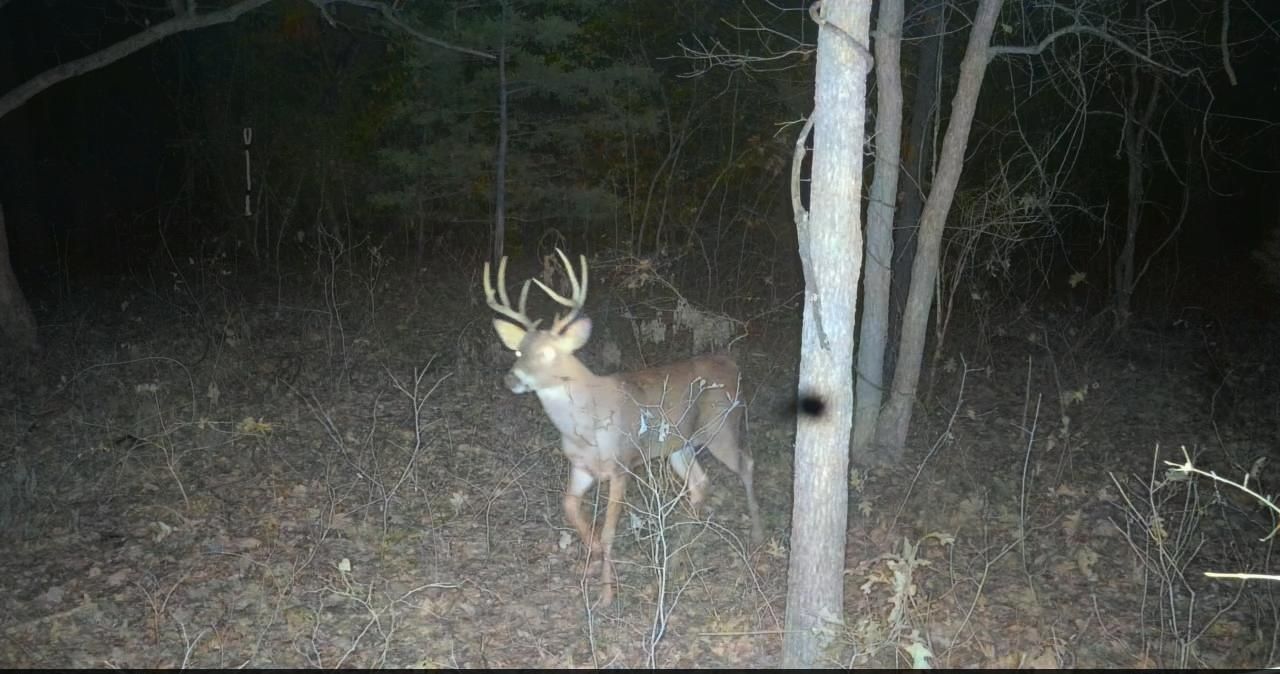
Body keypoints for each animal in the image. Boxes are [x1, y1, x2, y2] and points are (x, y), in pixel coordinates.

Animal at [482, 249, 764, 606]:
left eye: (546, 352)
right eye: (519, 350)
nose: (511, 379)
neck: (583, 427)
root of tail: (732, 364)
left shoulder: (621, 466)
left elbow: (609, 530)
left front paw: (606, 593)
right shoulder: (581, 467)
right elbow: (569, 507)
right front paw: (591, 562)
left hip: (722, 425)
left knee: (746, 464)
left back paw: (756, 534)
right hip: (679, 445)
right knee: (700, 483)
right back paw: (679, 555)